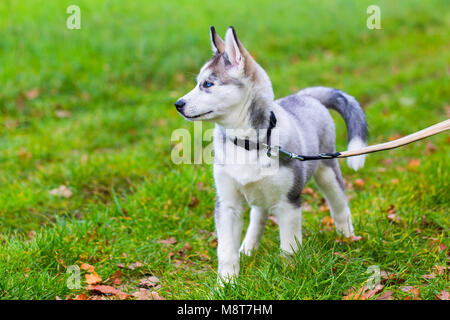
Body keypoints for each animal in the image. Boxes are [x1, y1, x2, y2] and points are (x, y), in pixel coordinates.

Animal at [174, 27, 368, 282]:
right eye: (198, 82)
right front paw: (226, 283)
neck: (247, 144)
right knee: (259, 215)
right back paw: (247, 248)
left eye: (207, 84)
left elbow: (289, 247)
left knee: (340, 207)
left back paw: (347, 237)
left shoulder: (289, 202)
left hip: (327, 173)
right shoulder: (227, 203)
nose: (178, 104)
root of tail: (306, 95)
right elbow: (225, 251)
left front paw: (289, 275)